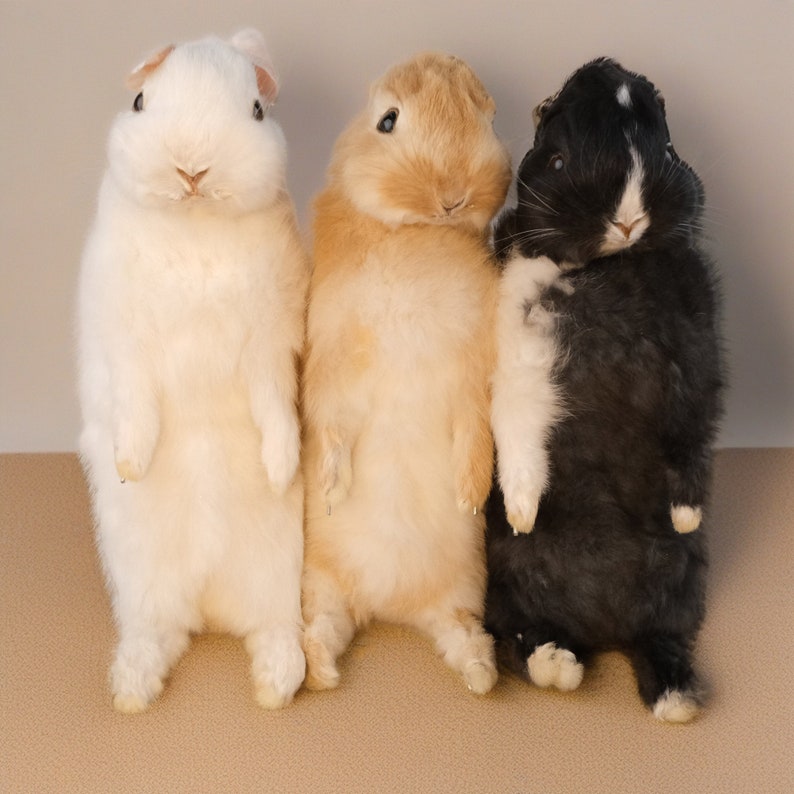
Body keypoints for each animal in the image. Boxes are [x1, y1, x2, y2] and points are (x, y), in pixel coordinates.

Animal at [77, 29, 309, 712]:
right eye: (140, 102)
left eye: (257, 111)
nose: (192, 170)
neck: (196, 221)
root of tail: (210, 602)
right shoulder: (127, 344)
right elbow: (135, 404)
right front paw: (132, 463)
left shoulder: (271, 347)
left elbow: (274, 405)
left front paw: (280, 469)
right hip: (141, 576)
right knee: (157, 632)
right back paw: (132, 687)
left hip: (277, 571)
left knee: (274, 628)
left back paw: (276, 684)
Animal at [300, 52, 512, 695]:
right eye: (388, 120)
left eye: (489, 121)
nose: (452, 196)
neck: (417, 232)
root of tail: (389, 605)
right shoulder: (333, 369)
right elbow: (334, 427)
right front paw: (332, 487)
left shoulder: (473, 381)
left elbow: (476, 433)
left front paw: (470, 495)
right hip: (320, 582)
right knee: (322, 625)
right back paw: (320, 672)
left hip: (463, 593)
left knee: (458, 632)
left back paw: (481, 675)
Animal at [484, 57, 725, 721]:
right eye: (558, 157)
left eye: (666, 148)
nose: (628, 220)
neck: (609, 265)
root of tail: (604, 629)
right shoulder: (522, 337)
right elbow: (517, 427)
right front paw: (521, 511)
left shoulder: (694, 345)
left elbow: (693, 426)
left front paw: (688, 514)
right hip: (507, 584)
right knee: (527, 634)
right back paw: (559, 666)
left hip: (678, 586)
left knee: (659, 640)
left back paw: (676, 700)